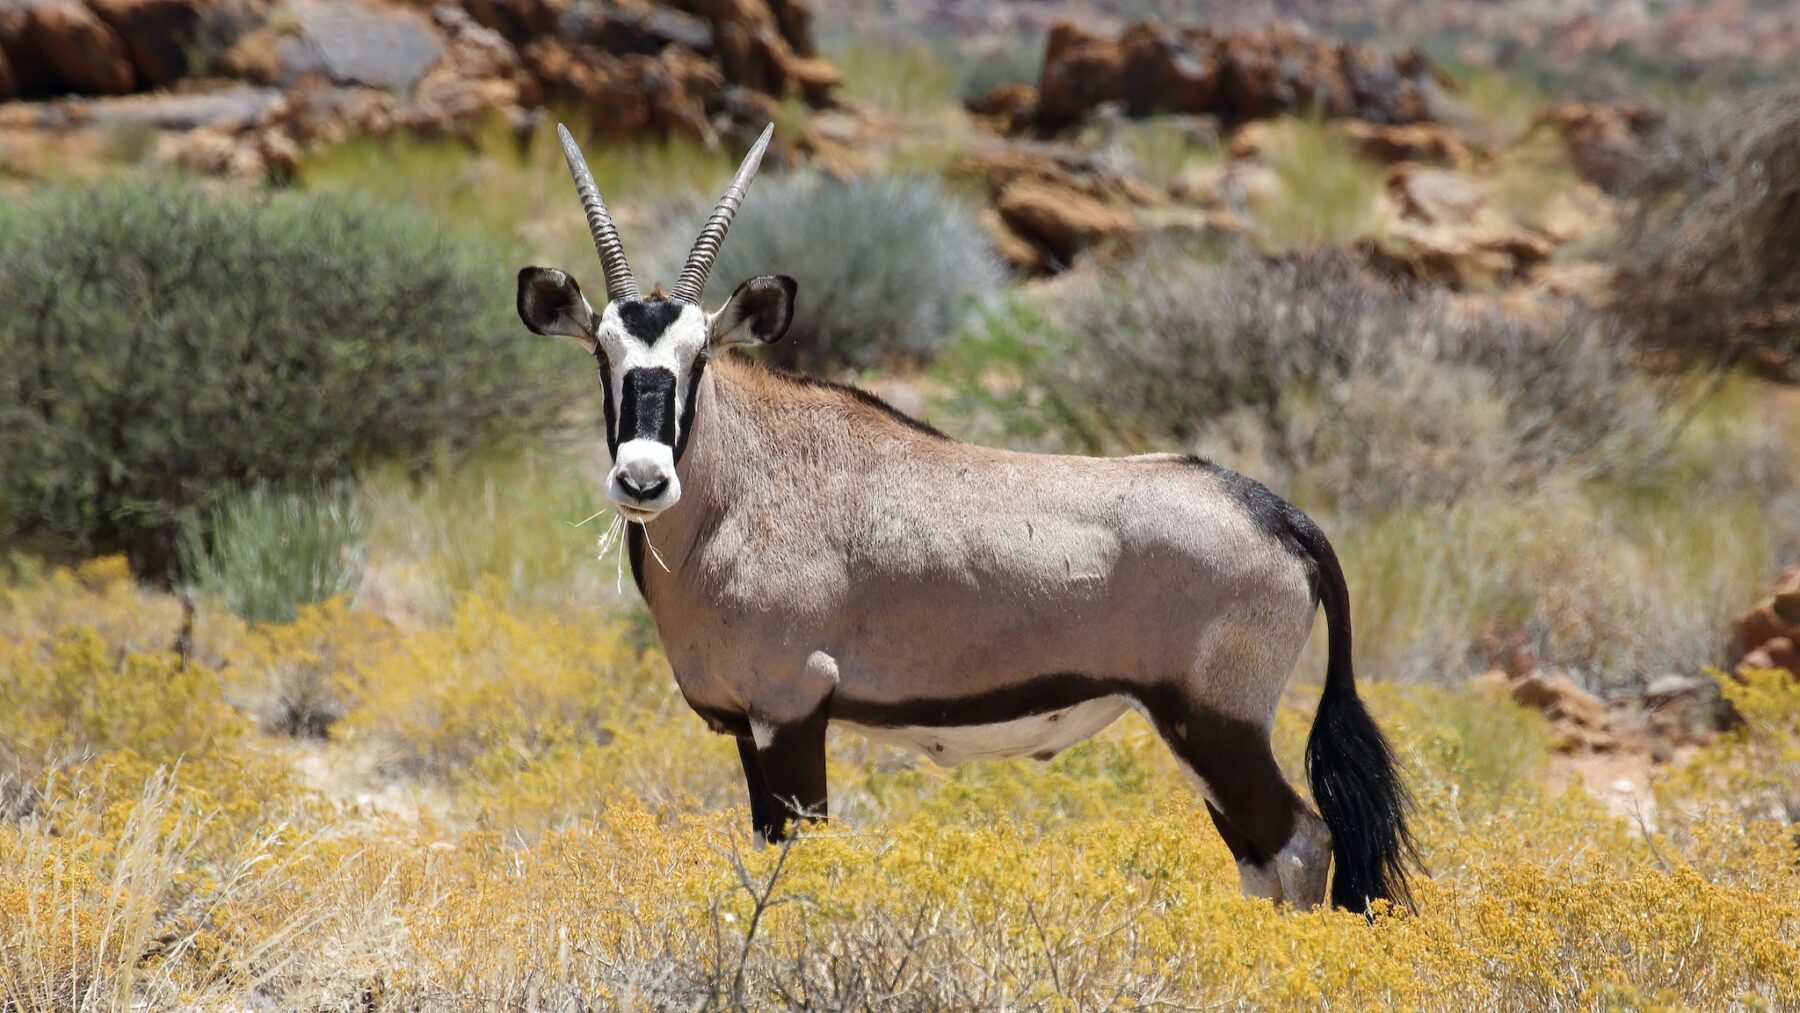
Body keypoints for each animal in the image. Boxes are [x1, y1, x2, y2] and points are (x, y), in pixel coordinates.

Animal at [514, 123, 1411, 906]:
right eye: (602, 355)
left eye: (698, 357)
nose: (642, 478)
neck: (741, 488)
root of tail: (1277, 512)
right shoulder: (746, 726)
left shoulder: (793, 711)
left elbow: (806, 860)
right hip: (1206, 735)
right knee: (1265, 857)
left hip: (1216, 724)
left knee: (1300, 841)